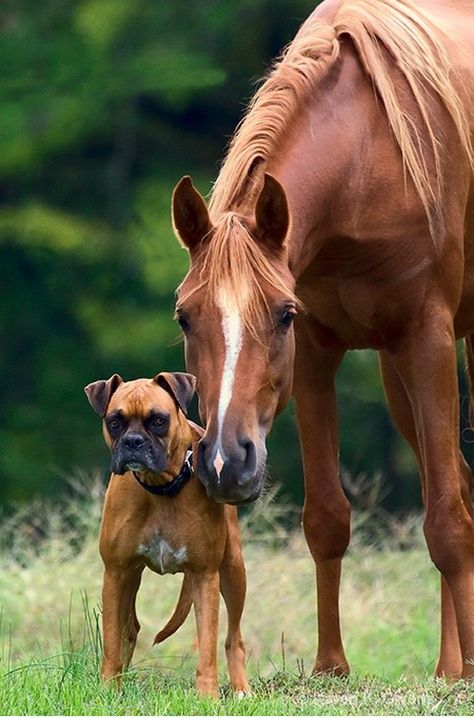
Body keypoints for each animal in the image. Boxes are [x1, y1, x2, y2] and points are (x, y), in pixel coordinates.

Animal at [84, 374, 250, 700]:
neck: (161, 488)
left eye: (158, 420)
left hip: (233, 570)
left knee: (234, 637)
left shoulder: (205, 576)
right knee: (129, 628)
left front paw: (207, 696)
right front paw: (109, 688)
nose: (133, 442)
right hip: (131, 578)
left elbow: (207, 643)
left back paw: (241, 688)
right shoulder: (116, 573)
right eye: (114, 422)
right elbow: (111, 640)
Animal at [170, 0, 474, 684]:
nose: (224, 461)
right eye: (184, 317)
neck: (367, 160)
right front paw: (331, 665)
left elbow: (447, 520)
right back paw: (448, 666)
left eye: (281, 314)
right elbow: (328, 518)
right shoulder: (316, 356)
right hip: (395, 372)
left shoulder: (429, 338)